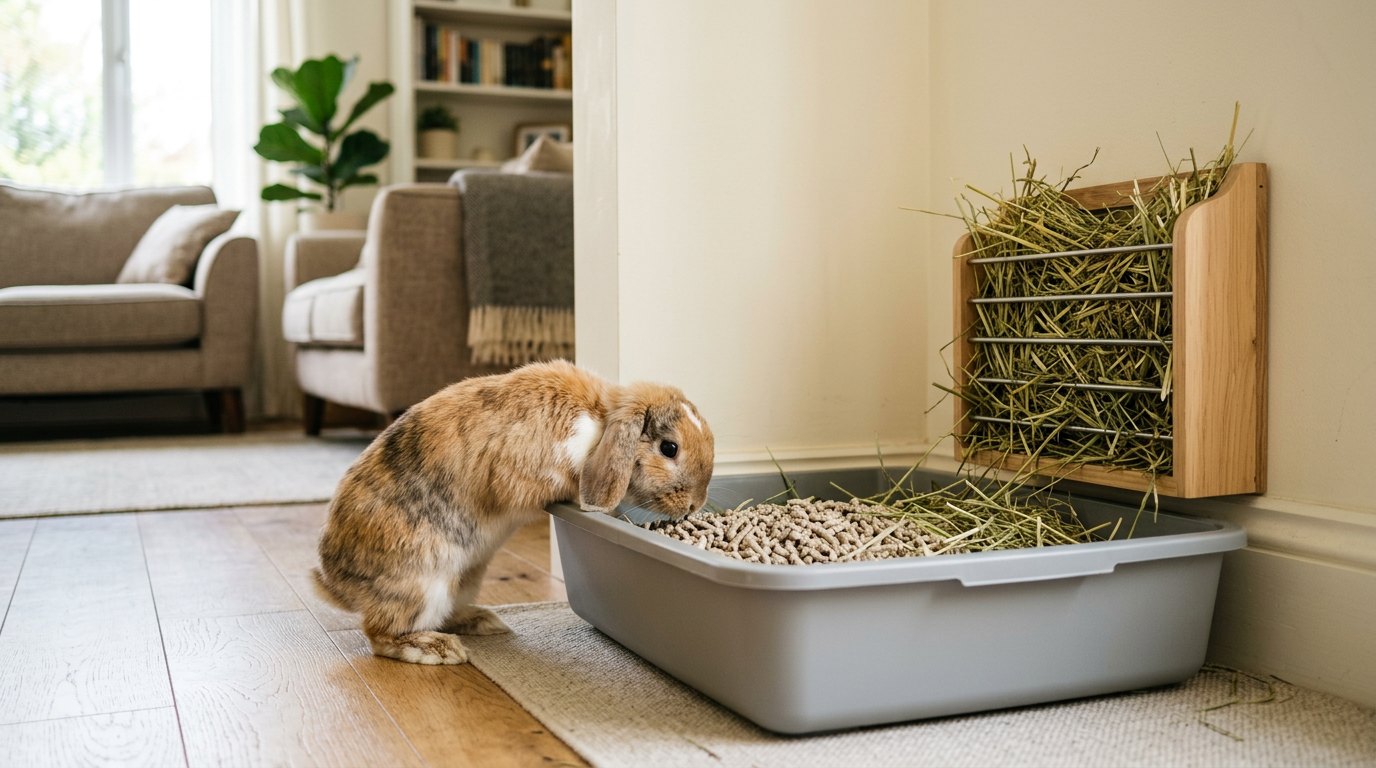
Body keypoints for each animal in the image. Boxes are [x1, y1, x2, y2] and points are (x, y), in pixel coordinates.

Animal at [311, 359, 715, 665]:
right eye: (669, 448)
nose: (695, 504)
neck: (600, 422)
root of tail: (339, 585)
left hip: (467, 578)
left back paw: (484, 621)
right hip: (421, 584)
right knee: (380, 634)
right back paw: (437, 650)